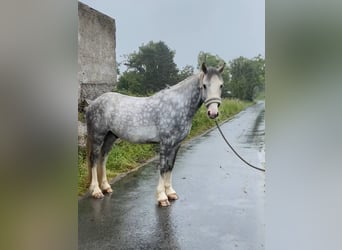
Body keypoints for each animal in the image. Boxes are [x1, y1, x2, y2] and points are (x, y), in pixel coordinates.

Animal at [85, 63, 224, 207]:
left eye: (221, 85)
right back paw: (96, 191)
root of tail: (92, 103)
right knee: (94, 159)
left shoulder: (176, 145)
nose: (213, 113)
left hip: (110, 137)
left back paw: (106, 187)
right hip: (97, 136)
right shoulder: (165, 143)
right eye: (204, 85)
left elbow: (170, 166)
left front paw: (171, 193)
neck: (177, 106)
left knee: (103, 158)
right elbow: (163, 168)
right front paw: (162, 197)